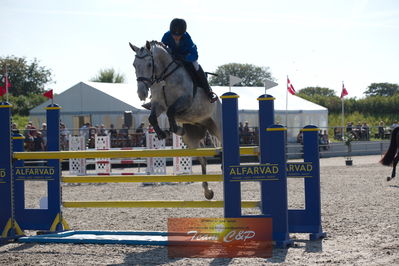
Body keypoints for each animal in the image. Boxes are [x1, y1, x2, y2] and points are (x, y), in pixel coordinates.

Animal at [129, 40, 222, 200]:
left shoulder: (185, 101)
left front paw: (175, 129)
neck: (164, 77)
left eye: (149, 64)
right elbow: (152, 117)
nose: (141, 93)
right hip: (192, 137)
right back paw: (207, 191)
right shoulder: (158, 105)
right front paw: (163, 133)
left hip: (218, 126)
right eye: (134, 65)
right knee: (203, 159)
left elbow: (171, 111)